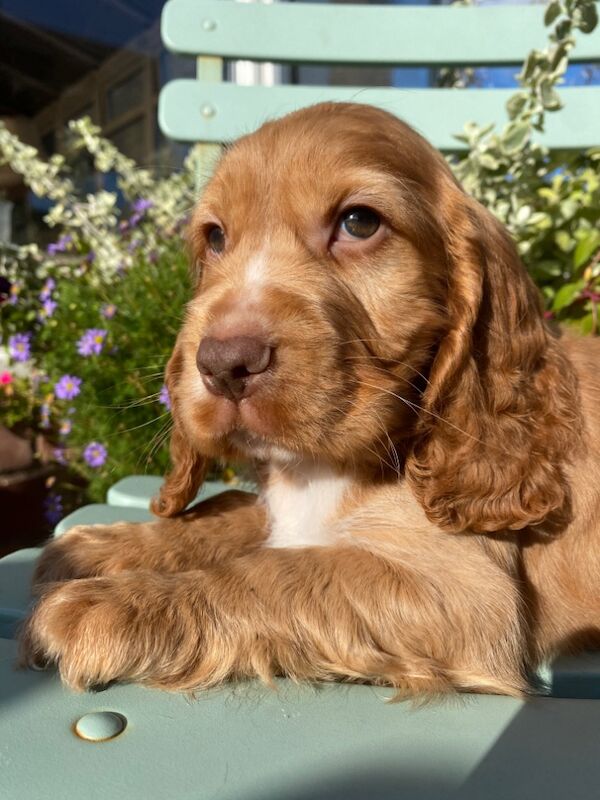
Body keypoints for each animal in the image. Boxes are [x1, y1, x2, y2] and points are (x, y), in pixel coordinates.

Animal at [18, 103, 600, 696]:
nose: (224, 363)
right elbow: (233, 513)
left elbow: (275, 573)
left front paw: (113, 604)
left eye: (359, 222)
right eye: (216, 237)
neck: (322, 468)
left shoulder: (463, 591)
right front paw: (103, 547)